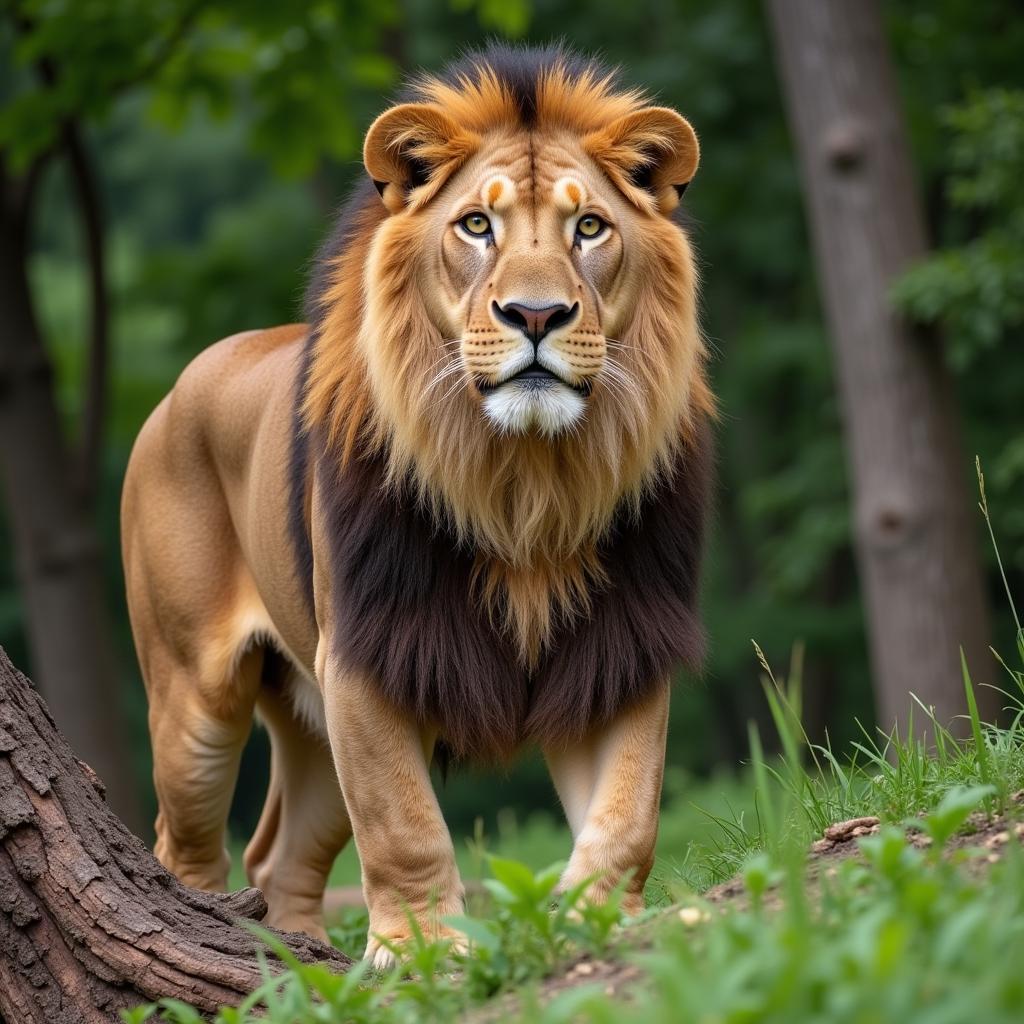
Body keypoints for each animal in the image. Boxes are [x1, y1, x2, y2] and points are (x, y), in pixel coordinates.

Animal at [121, 41, 712, 966]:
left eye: (589, 228)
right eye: (476, 226)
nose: (536, 313)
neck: (525, 480)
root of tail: (185, 381)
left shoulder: (621, 646)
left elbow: (628, 817)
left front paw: (594, 922)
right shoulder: (369, 654)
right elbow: (403, 825)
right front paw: (426, 957)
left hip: (309, 712)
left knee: (278, 856)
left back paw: (304, 967)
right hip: (195, 699)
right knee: (183, 846)